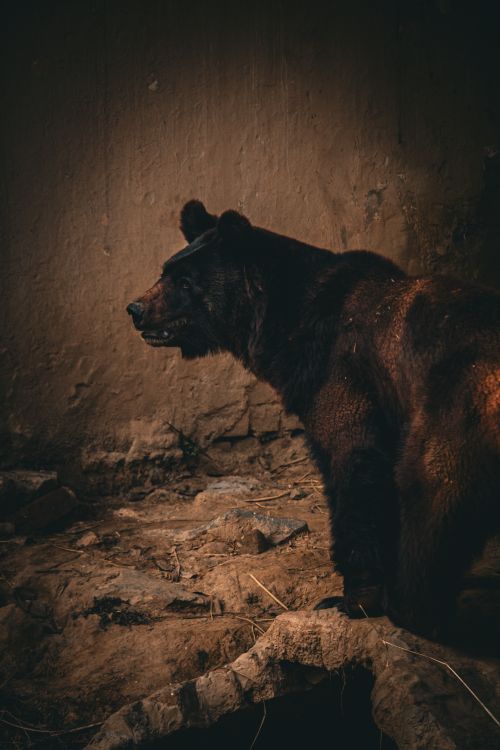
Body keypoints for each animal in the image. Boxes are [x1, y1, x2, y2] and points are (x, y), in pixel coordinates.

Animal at [127, 200, 500, 639]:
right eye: (165, 270)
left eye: (186, 283)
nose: (136, 309)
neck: (284, 325)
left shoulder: (341, 374)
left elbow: (355, 466)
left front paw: (352, 598)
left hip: (457, 401)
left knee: (434, 492)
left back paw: (413, 609)